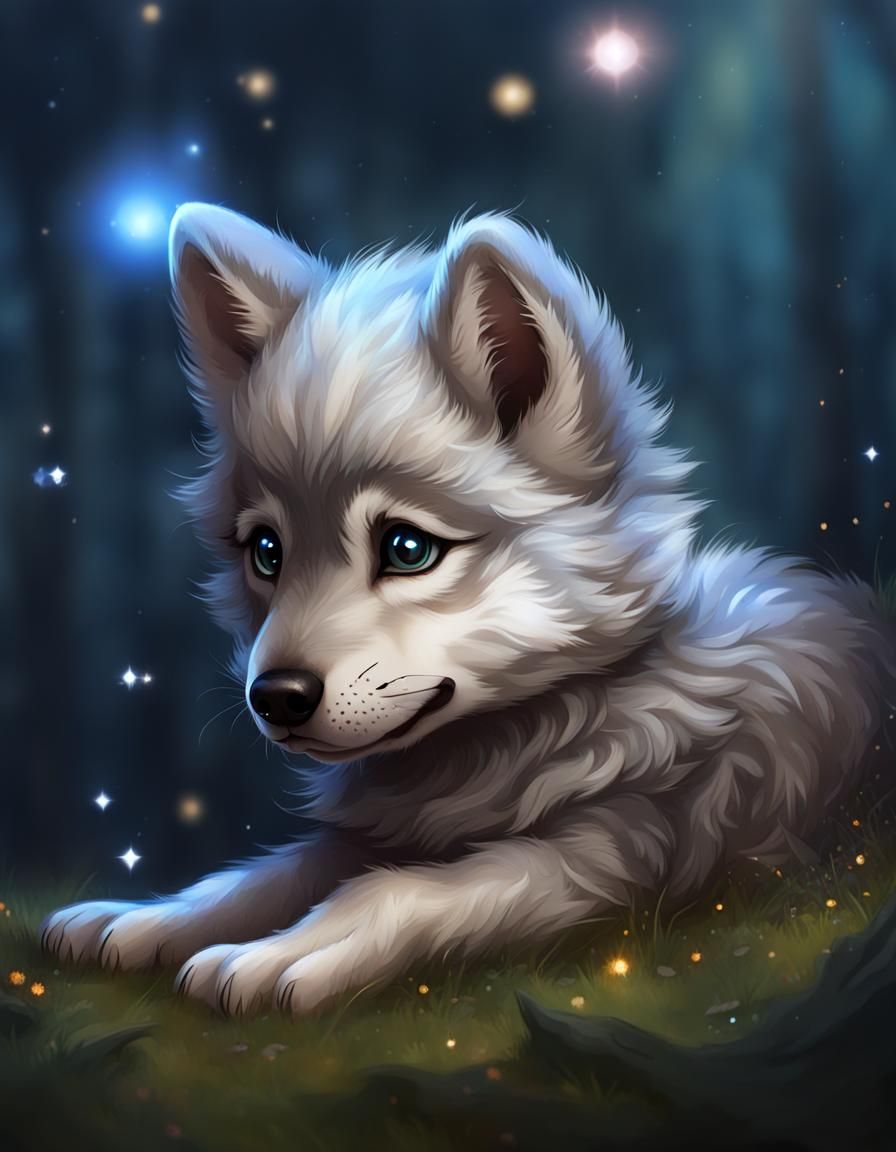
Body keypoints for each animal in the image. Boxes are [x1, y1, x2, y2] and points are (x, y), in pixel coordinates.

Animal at [42, 204, 892, 1016]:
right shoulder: (371, 834)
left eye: (406, 548)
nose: (275, 698)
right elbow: (254, 879)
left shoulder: (609, 858)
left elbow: (395, 892)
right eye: (267, 553)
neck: (500, 754)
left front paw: (278, 957)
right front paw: (141, 920)